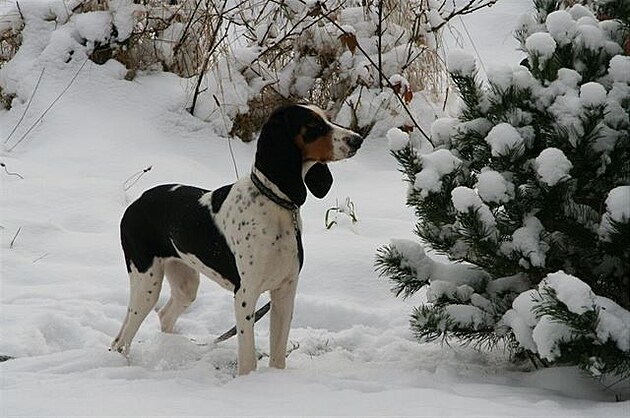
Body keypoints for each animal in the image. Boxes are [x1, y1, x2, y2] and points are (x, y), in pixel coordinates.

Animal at [111, 104, 362, 376]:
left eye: (327, 118)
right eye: (313, 125)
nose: (357, 140)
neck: (275, 204)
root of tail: (135, 203)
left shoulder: (285, 292)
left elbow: (278, 356)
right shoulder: (245, 294)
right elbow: (248, 358)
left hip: (185, 283)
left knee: (165, 316)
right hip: (146, 283)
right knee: (122, 339)